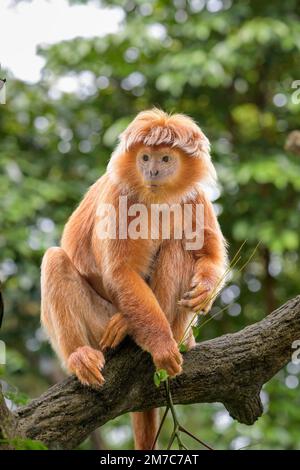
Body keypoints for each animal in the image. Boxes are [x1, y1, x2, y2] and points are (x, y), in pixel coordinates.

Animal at [40, 108, 227, 450]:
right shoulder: (119, 195)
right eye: (144, 157)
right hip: (98, 324)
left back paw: (171, 335)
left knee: (178, 246)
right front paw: (162, 346)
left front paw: (204, 291)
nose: (152, 170)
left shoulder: (194, 196)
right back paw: (85, 354)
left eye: (165, 158)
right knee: (55, 260)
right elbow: (119, 272)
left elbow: (211, 256)